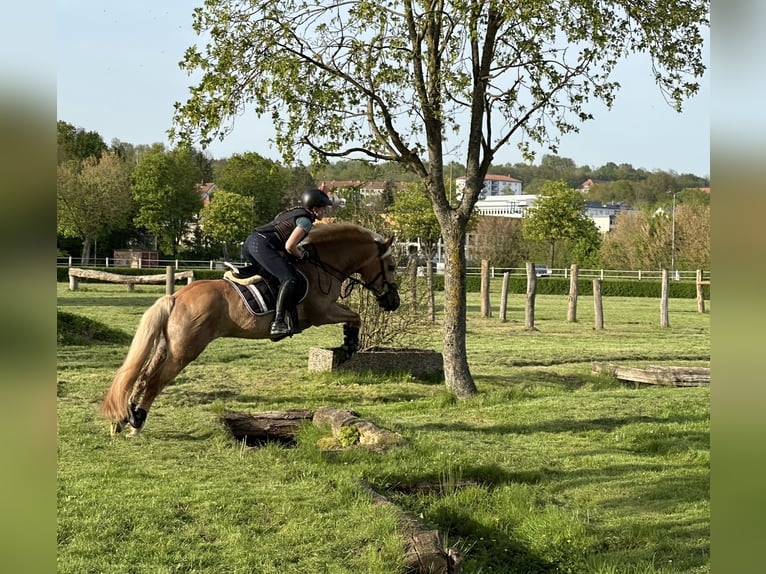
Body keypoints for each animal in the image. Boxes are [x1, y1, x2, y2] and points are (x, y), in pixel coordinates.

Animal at [100, 223, 402, 438]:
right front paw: (347, 348)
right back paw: (137, 424)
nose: (393, 302)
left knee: (142, 377)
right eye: (391, 266)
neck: (324, 265)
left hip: (167, 347)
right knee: (154, 382)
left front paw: (346, 347)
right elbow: (356, 316)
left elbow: (354, 317)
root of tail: (176, 297)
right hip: (184, 351)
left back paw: (125, 418)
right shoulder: (322, 312)